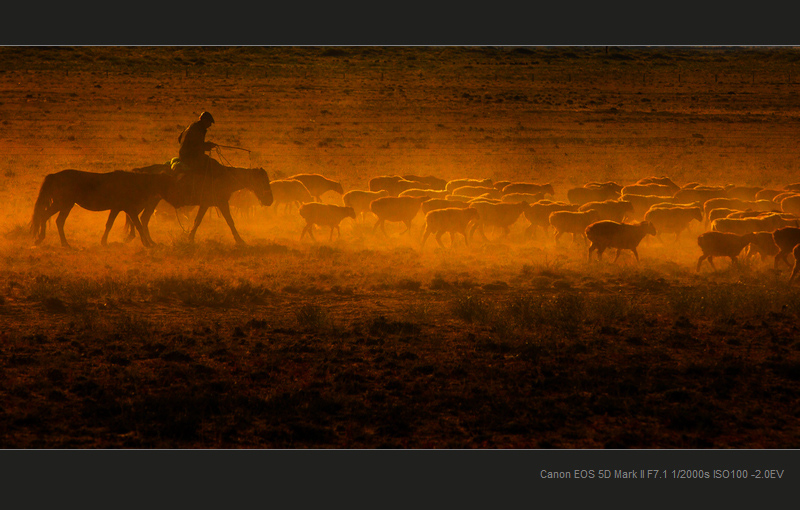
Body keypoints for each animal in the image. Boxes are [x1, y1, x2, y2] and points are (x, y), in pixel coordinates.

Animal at [31, 168, 177, 248]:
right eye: (167, 185)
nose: (177, 201)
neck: (133, 183)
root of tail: (54, 176)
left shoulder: (116, 209)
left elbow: (109, 224)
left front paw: (104, 242)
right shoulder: (129, 210)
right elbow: (139, 225)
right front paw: (146, 244)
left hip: (65, 205)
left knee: (55, 220)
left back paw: (58, 242)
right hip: (62, 204)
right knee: (49, 218)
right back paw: (45, 240)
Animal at [128, 163, 272, 243]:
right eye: (263, 180)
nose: (270, 199)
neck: (225, 177)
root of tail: (141, 170)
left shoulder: (206, 204)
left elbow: (197, 220)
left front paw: (190, 238)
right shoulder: (221, 203)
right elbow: (230, 221)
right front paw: (240, 241)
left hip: (152, 201)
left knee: (143, 218)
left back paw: (148, 240)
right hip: (147, 201)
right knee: (135, 216)